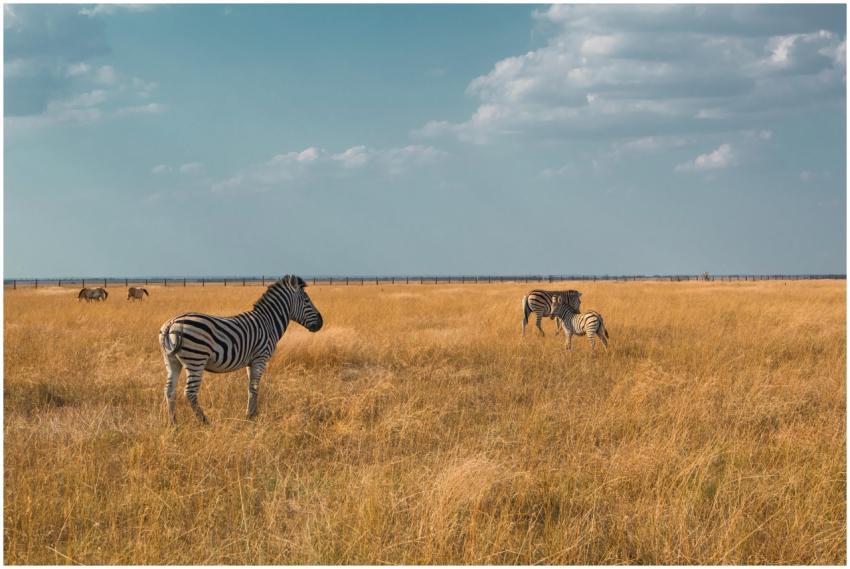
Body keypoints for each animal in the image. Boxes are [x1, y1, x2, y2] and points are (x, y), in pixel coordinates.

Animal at [159, 275, 323, 425]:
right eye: (306, 300)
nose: (321, 322)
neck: (268, 322)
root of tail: (171, 323)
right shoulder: (260, 358)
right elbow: (255, 387)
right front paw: (251, 416)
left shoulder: (251, 362)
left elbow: (250, 387)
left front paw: (252, 414)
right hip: (196, 359)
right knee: (190, 392)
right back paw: (204, 422)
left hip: (171, 361)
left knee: (169, 390)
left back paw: (173, 424)